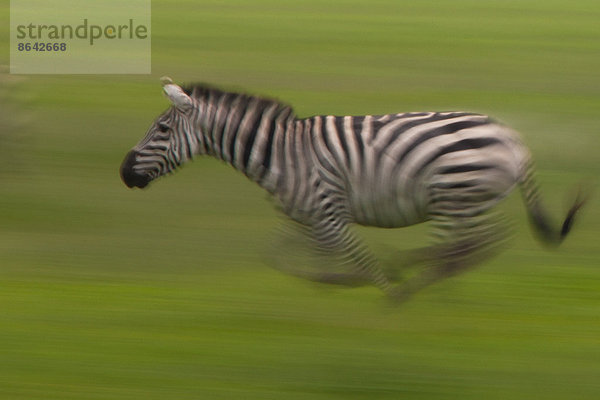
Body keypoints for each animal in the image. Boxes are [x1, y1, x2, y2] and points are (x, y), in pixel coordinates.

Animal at [119, 78, 584, 302]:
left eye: (162, 130)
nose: (124, 173)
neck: (280, 153)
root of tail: (512, 138)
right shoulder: (304, 215)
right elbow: (277, 256)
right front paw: (324, 287)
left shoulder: (327, 212)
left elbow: (359, 258)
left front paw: (383, 291)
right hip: (467, 199)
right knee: (478, 244)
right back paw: (431, 282)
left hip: (454, 194)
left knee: (464, 246)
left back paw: (413, 279)